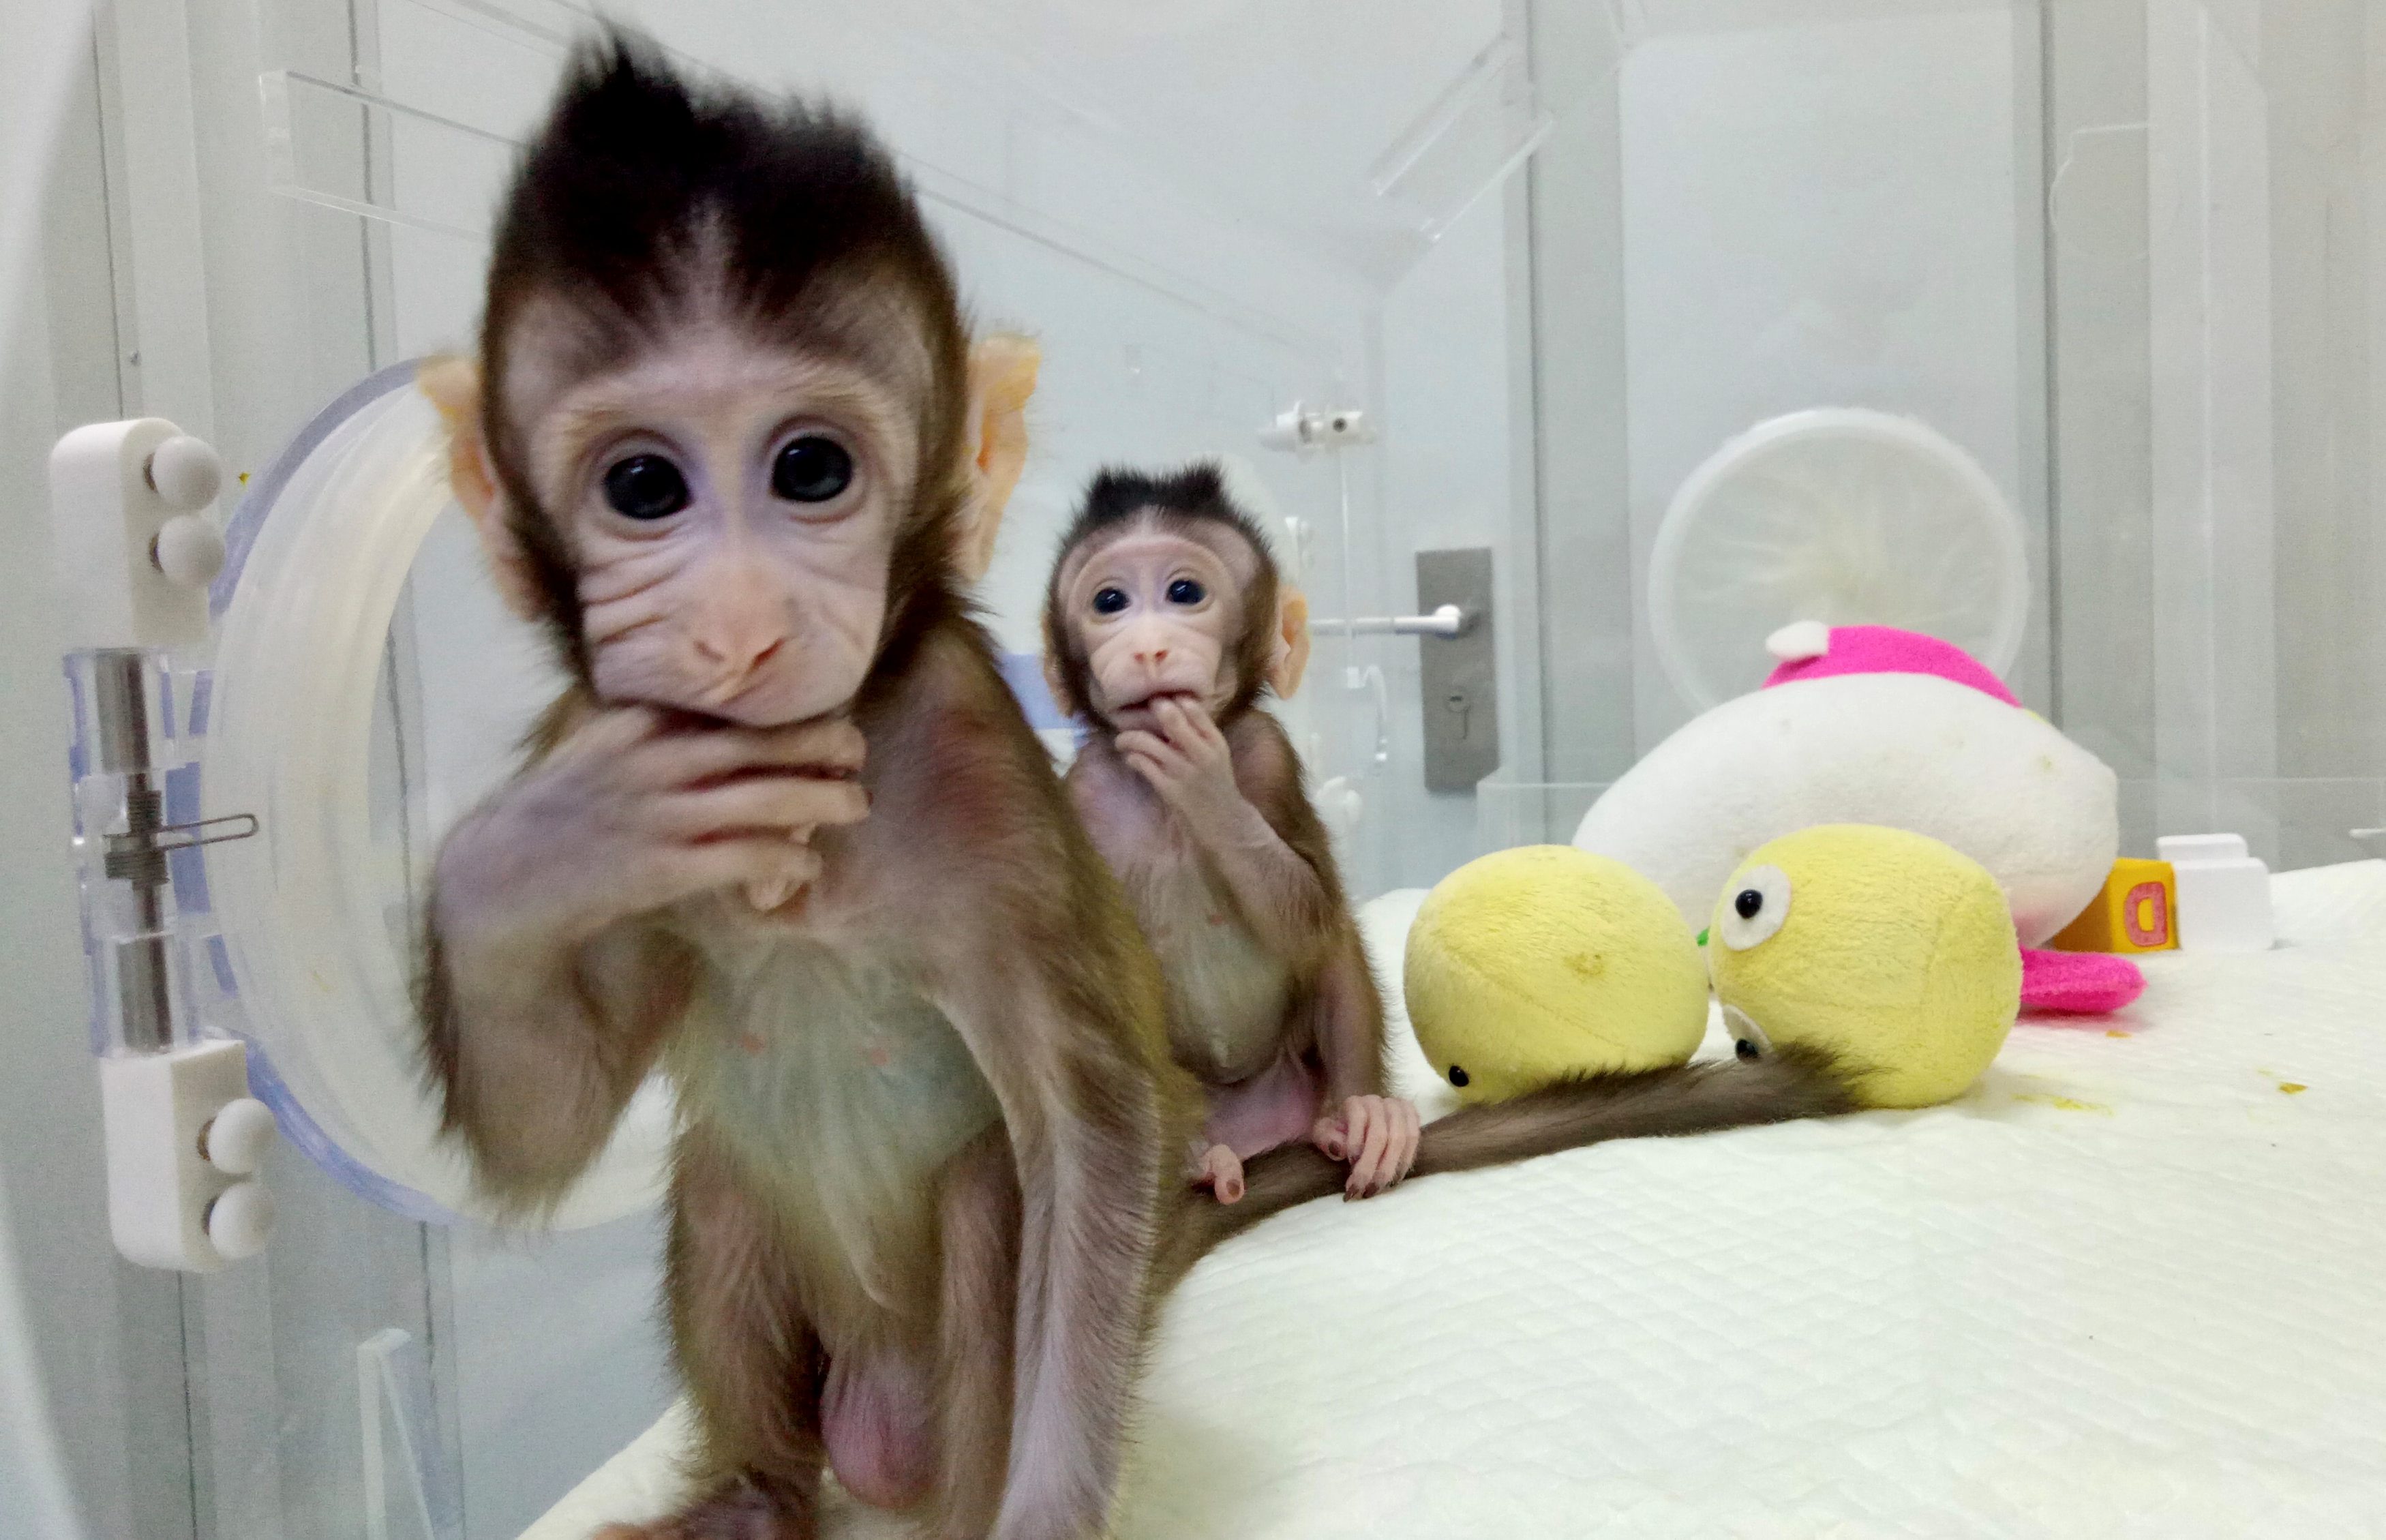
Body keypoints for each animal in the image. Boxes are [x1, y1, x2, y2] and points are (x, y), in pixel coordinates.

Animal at [413, 36, 1202, 1540]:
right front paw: (531, 851)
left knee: (986, 1194)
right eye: (644, 486)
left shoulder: (975, 761)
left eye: (812, 469)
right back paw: (752, 1497)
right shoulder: (599, 730)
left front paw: (1044, 1514)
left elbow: (1095, 1127)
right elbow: (542, 1123)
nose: (736, 625)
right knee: (722, 1176)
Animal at [1040, 464, 1861, 1263]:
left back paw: (1362, 1118)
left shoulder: (1265, 756)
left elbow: (1309, 917)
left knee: (1337, 955)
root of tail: (1255, 1134)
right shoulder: (1075, 796)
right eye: (1109, 601)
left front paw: (1205, 784)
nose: (1146, 646)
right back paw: (1199, 1158)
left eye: (1185, 592)